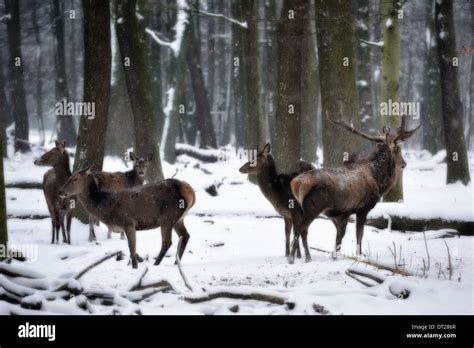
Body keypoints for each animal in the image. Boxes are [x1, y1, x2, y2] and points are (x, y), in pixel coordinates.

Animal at [58, 164, 195, 270]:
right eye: (69, 177)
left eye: (75, 179)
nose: (60, 191)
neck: (105, 207)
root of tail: (190, 192)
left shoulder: (128, 223)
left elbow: (132, 248)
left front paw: (135, 267)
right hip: (179, 219)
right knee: (186, 235)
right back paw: (176, 263)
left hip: (167, 217)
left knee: (167, 242)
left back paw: (156, 264)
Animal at [286, 114, 420, 264]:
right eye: (398, 149)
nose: (404, 164)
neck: (378, 181)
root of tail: (296, 183)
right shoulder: (363, 207)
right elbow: (359, 233)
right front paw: (359, 255)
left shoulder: (343, 212)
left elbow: (342, 235)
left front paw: (337, 255)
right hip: (312, 208)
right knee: (299, 229)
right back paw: (291, 259)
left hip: (300, 207)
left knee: (302, 230)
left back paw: (307, 257)